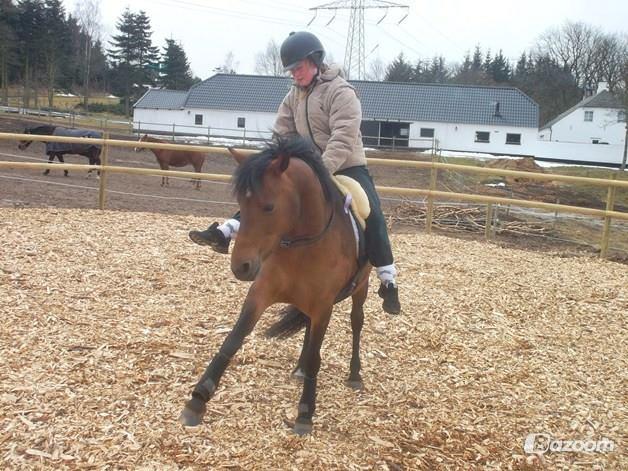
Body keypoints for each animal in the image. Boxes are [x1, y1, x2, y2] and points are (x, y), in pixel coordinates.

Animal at [179, 136, 370, 436]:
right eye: (240, 205)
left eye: (269, 206)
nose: (241, 266)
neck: (302, 246)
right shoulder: (261, 293)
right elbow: (233, 339)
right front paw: (198, 399)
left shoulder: (323, 306)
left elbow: (316, 357)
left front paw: (305, 414)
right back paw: (299, 369)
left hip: (361, 288)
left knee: (356, 322)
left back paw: (354, 374)